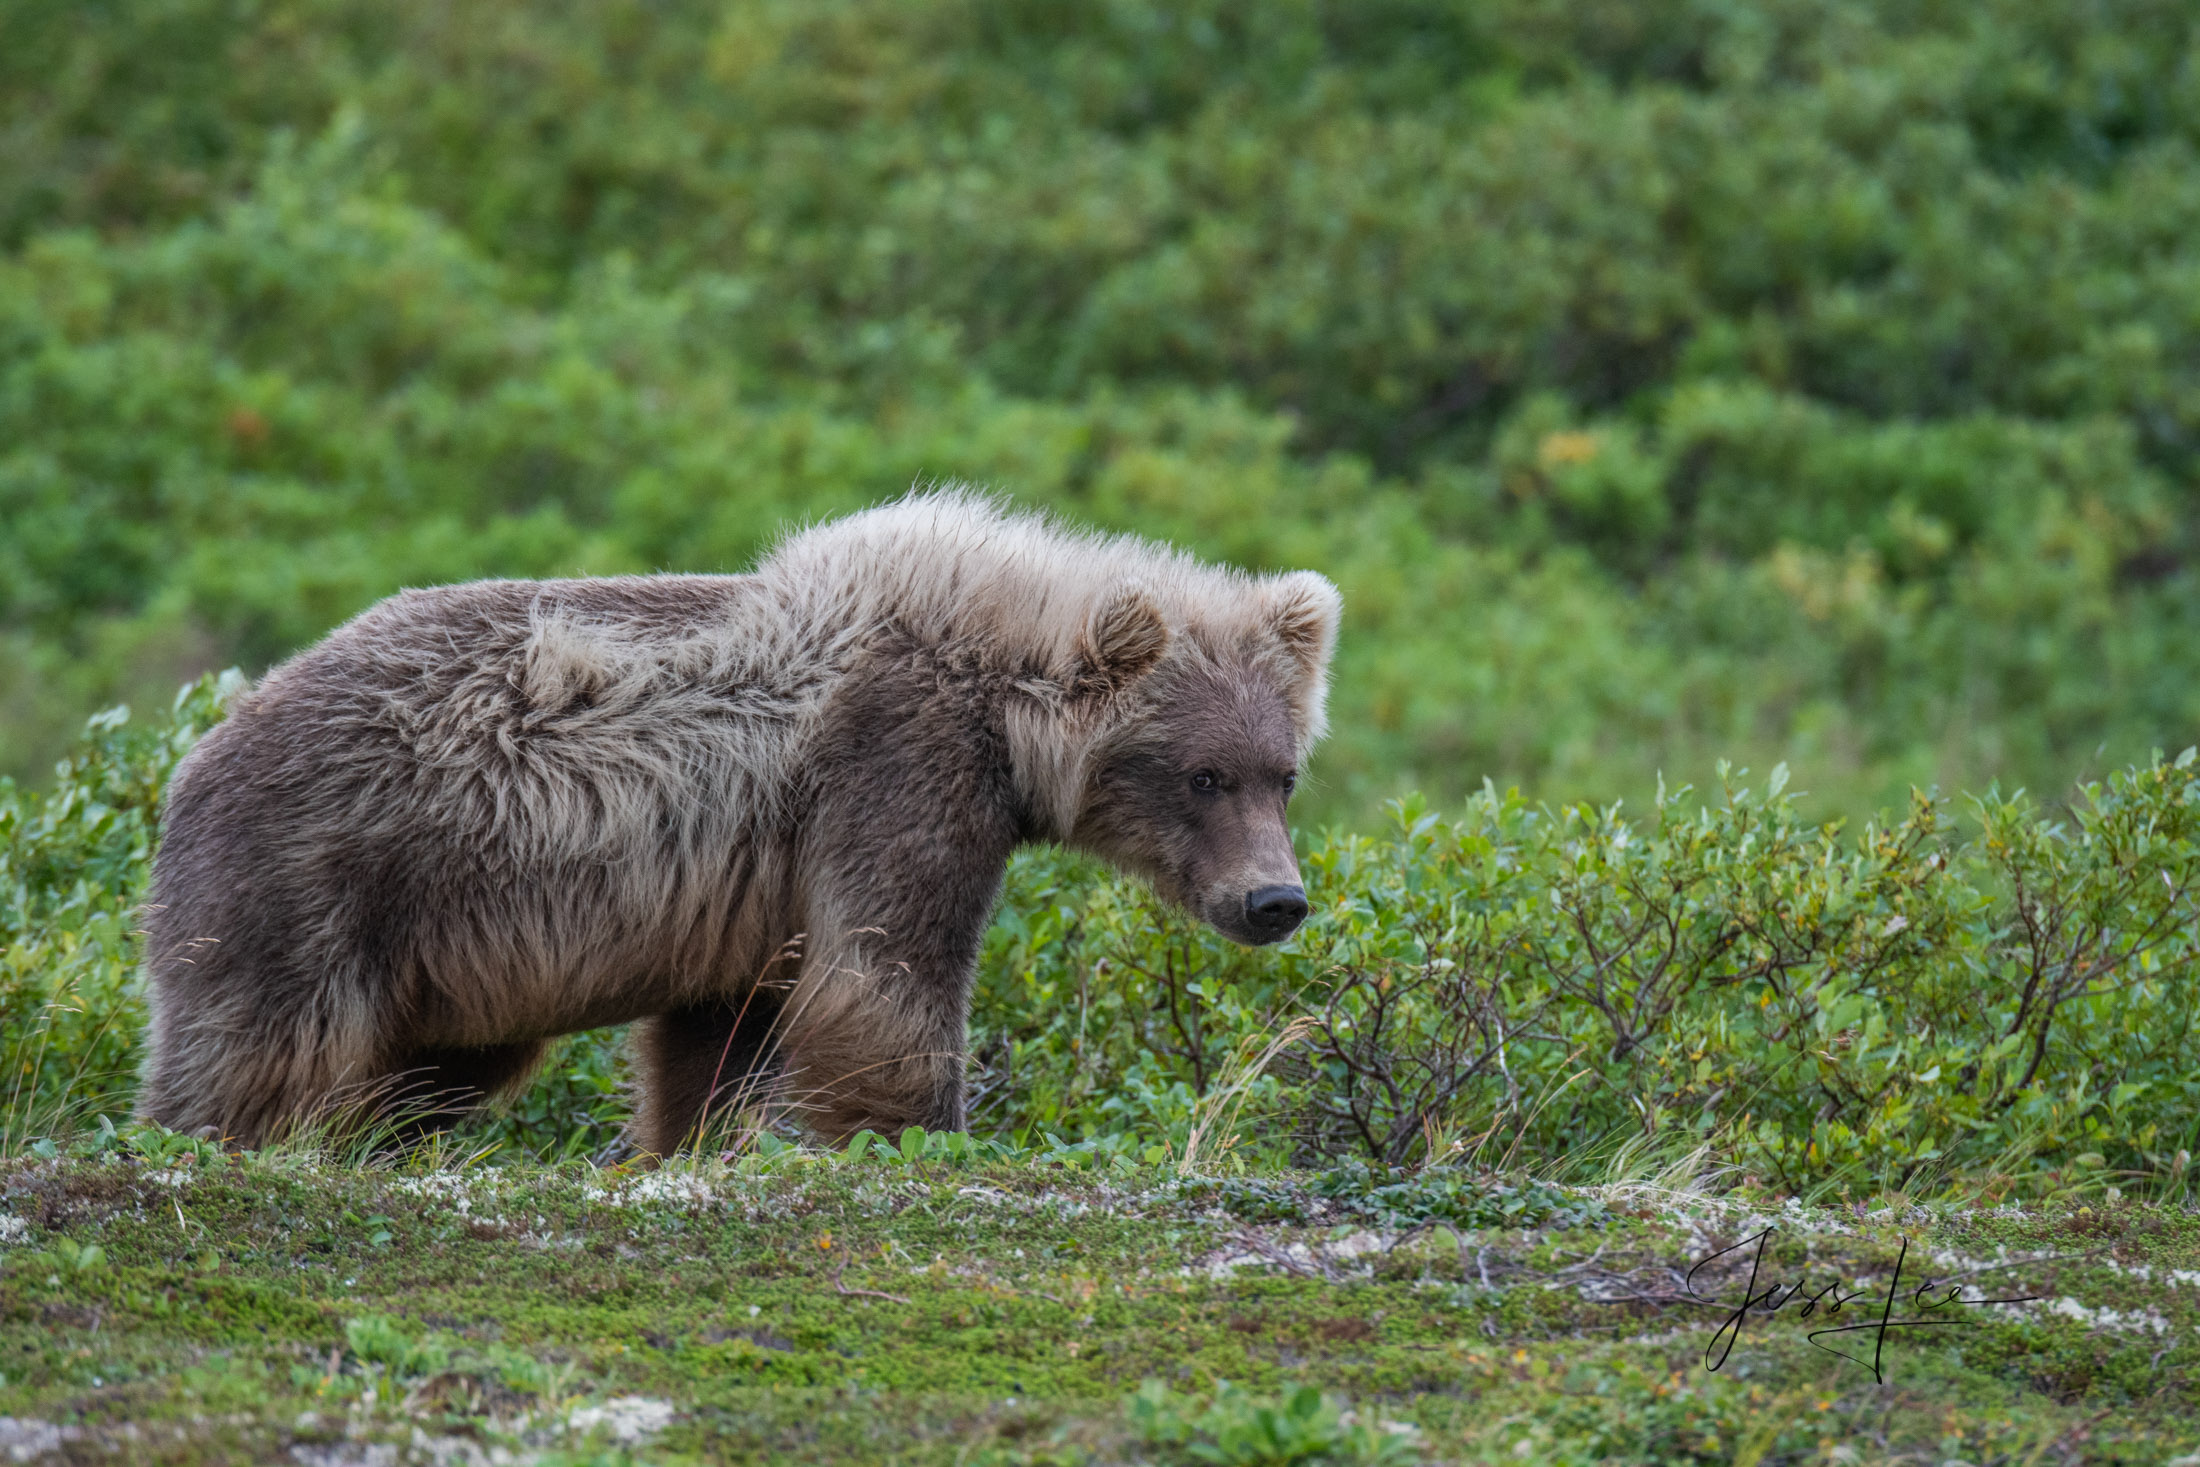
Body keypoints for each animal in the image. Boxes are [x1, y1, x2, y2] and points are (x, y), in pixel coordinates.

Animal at [141, 499, 1337, 1152]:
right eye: (1201, 775)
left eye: (1282, 774)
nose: (1274, 899)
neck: (997, 691)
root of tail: (197, 746)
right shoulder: (895, 766)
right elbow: (882, 980)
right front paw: (922, 1134)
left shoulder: (754, 894)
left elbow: (718, 1038)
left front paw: (691, 1141)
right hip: (317, 875)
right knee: (262, 1054)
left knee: (427, 1074)